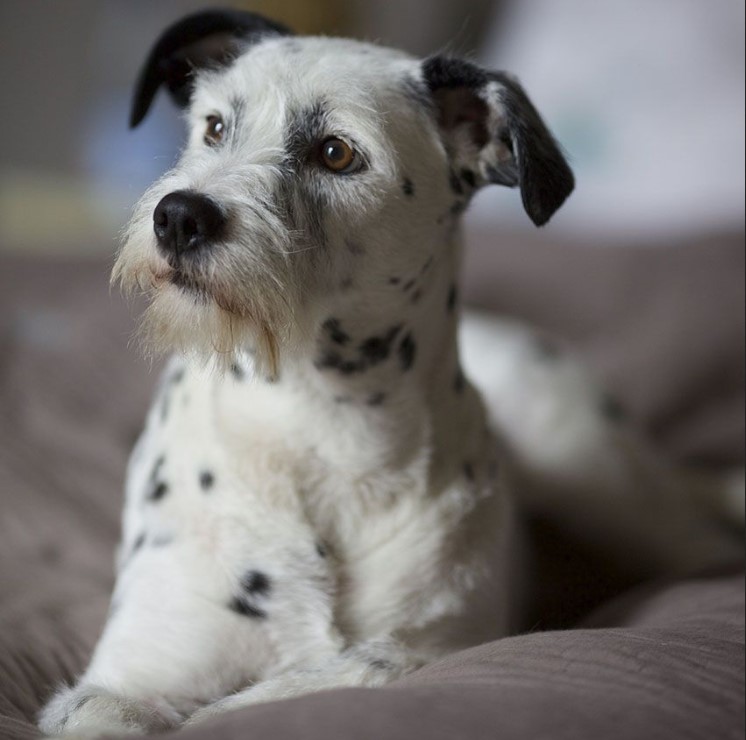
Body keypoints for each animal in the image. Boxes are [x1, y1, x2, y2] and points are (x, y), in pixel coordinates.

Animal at [37, 8, 740, 736]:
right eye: (214, 126)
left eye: (336, 153)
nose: (179, 216)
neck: (321, 431)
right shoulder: (127, 675)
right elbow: (119, 706)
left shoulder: (445, 641)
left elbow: (363, 667)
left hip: (600, 476)